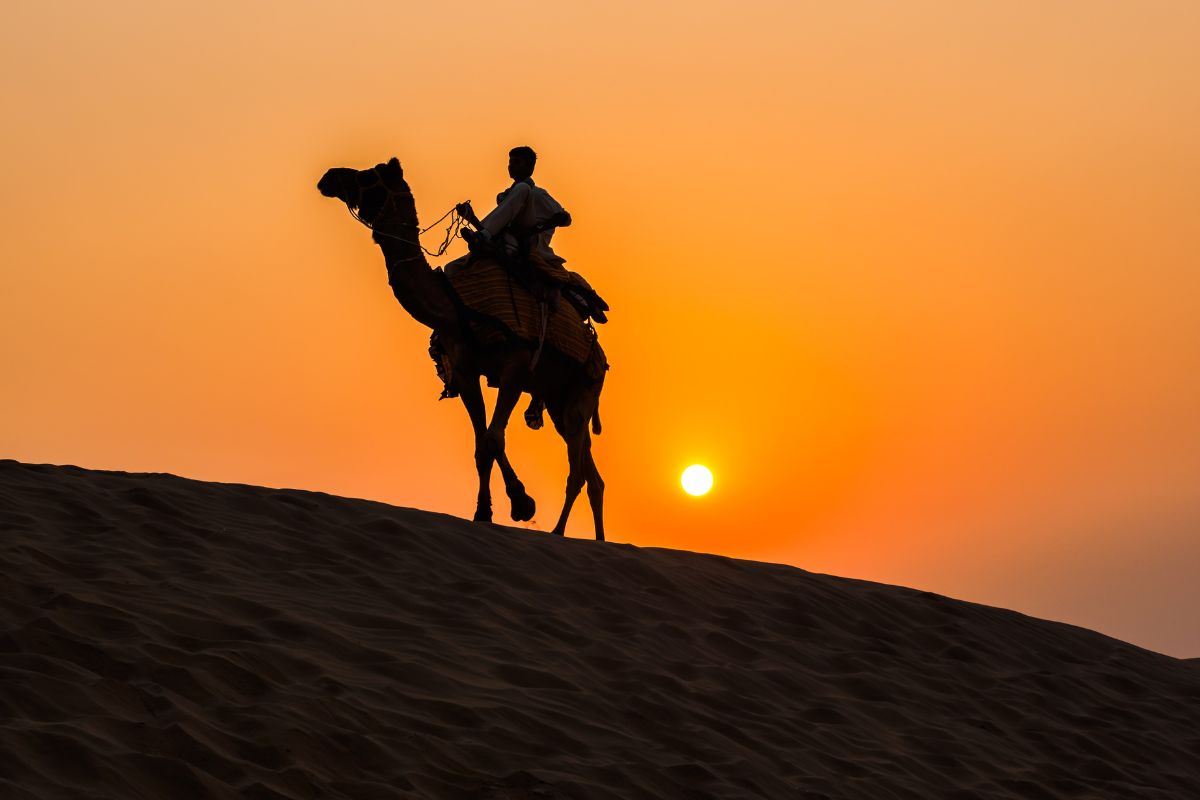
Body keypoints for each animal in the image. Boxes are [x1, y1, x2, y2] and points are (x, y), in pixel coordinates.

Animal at [316, 157, 604, 542]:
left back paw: (559, 533)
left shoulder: (516, 365)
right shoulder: (466, 368)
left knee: (577, 470)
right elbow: (481, 443)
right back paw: (598, 539)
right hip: (559, 400)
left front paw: (521, 504)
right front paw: (486, 511)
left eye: (370, 173)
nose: (329, 177)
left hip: (583, 392)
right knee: (592, 474)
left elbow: (494, 438)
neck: (454, 306)